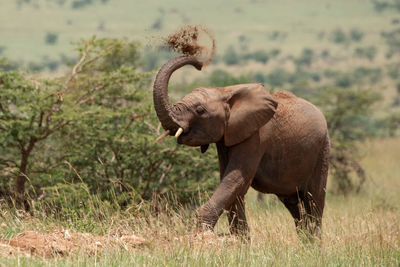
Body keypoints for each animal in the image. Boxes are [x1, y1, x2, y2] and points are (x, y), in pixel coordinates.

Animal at [152, 56, 330, 239]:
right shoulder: (226, 138)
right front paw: (241, 239)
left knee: (314, 200)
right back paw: (306, 242)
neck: (225, 92)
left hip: (322, 150)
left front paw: (202, 234)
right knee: (295, 205)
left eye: (200, 110)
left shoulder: (257, 136)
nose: (199, 64)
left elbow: (235, 178)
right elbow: (232, 183)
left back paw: (314, 241)